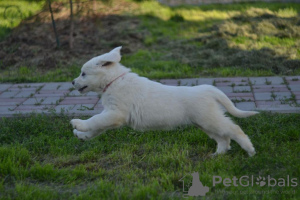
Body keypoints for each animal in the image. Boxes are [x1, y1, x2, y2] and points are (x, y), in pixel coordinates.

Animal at [71, 47, 258, 156]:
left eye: (83, 74)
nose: (72, 82)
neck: (114, 80)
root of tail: (208, 89)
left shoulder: (116, 114)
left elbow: (95, 120)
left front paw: (78, 124)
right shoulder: (110, 114)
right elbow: (97, 126)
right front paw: (82, 135)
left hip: (209, 120)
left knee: (234, 129)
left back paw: (250, 150)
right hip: (205, 123)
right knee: (223, 137)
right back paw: (218, 154)